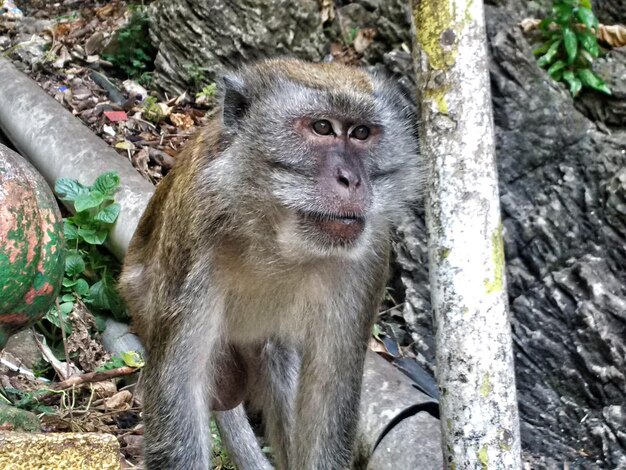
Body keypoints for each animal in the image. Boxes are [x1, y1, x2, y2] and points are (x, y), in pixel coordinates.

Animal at [118, 58, 420, 470]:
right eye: (322, 128)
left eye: (361, 133)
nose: (352, 179)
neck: (276, 237)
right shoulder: (196, 224)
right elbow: (180, 388)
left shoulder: (371, 252)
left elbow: (327, 403)